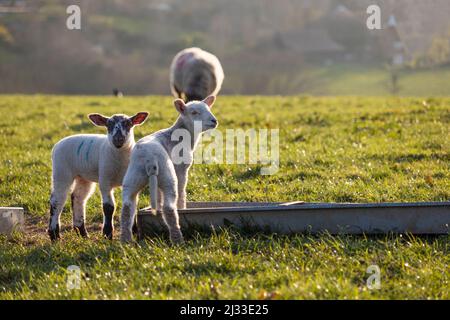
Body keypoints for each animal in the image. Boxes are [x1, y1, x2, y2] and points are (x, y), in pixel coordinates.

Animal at [47, 112, 149, 240]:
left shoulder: (133, 182)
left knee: (78, 197)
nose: (118, 139)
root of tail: (57, 145)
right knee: (57, 200)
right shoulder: (105, 180)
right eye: (108, 124)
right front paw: (107, 234)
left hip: (83, 177)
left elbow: (132, 206)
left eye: (128, 123)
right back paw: (54, 235)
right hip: (61, 172)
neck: (120, 160)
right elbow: (109, 207)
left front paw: (134, 232)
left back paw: (82, 233)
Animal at [119, 96, 218, 244]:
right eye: (194, 112)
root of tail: (149, 158)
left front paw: (158, 208)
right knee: (169, 208)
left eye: (208, 109)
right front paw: (182, 208)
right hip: (167, 175)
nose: (214, 121)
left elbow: (159, 196)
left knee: (127, 206)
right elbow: (182, 192)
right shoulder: (181, 169)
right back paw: (178, 240)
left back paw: (126, 241)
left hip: (133, 175)